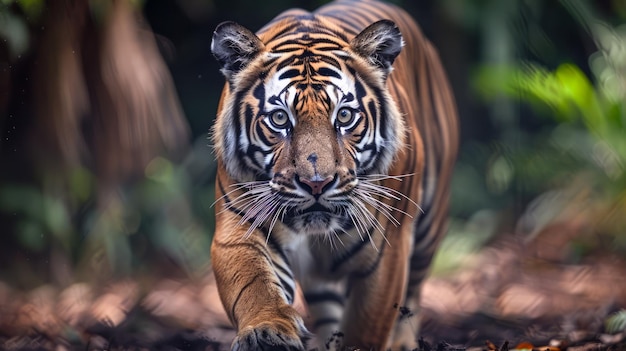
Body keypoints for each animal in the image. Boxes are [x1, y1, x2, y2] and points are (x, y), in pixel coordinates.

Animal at [210, 0, 458, 350]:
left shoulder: (388, 251)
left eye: (344, 116)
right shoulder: (239, 228)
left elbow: (368, 323)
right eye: (279, 119)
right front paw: (267, 333)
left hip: (428, 228)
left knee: (412, 296)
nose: (317, 184)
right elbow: (253, 286)